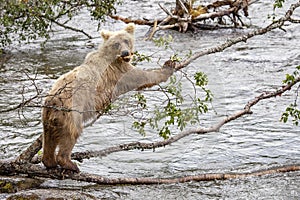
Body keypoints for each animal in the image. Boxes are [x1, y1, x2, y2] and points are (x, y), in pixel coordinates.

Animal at [41, 23, 175, 173]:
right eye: (116, 44)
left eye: (126, 40)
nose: (125, 53)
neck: (114, 57)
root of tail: (52, 101)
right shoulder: (118, 71)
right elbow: (142, 77)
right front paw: (169, 65)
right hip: (70, 112)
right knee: (71, 134)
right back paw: (69, 163)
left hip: (49, 118)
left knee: (49, 139)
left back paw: (49, 162)